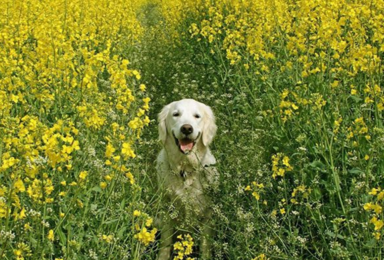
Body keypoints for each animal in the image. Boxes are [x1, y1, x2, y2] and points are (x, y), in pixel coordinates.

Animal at [154, 98, 218, 258]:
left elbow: (205, 245)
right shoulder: (167, 210)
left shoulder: (207, 214)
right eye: (176, 114)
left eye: (197, 116)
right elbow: (165, 243)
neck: (185, 171)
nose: (187, 129)